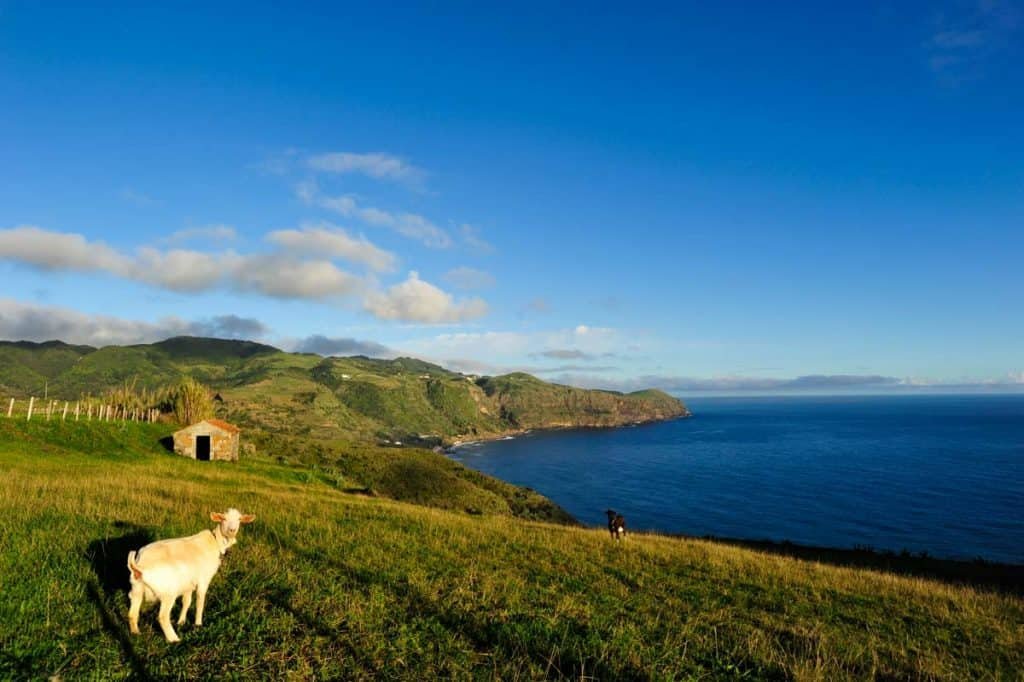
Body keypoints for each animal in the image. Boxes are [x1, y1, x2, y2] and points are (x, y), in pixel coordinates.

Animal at [125, 507, 253, 638]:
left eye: (239, 519)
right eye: (223, 518)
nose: (232, 530)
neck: (214, 542)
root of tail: (139, 565)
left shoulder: (188, 583)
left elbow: (186, 602)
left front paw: (181, 621)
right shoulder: (203, 580)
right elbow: (200, 601)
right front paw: (198, 625)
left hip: (137, 588)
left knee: (132, 613)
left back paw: (136, 632)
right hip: (168, 592)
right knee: (162, 616)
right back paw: (174, 639)